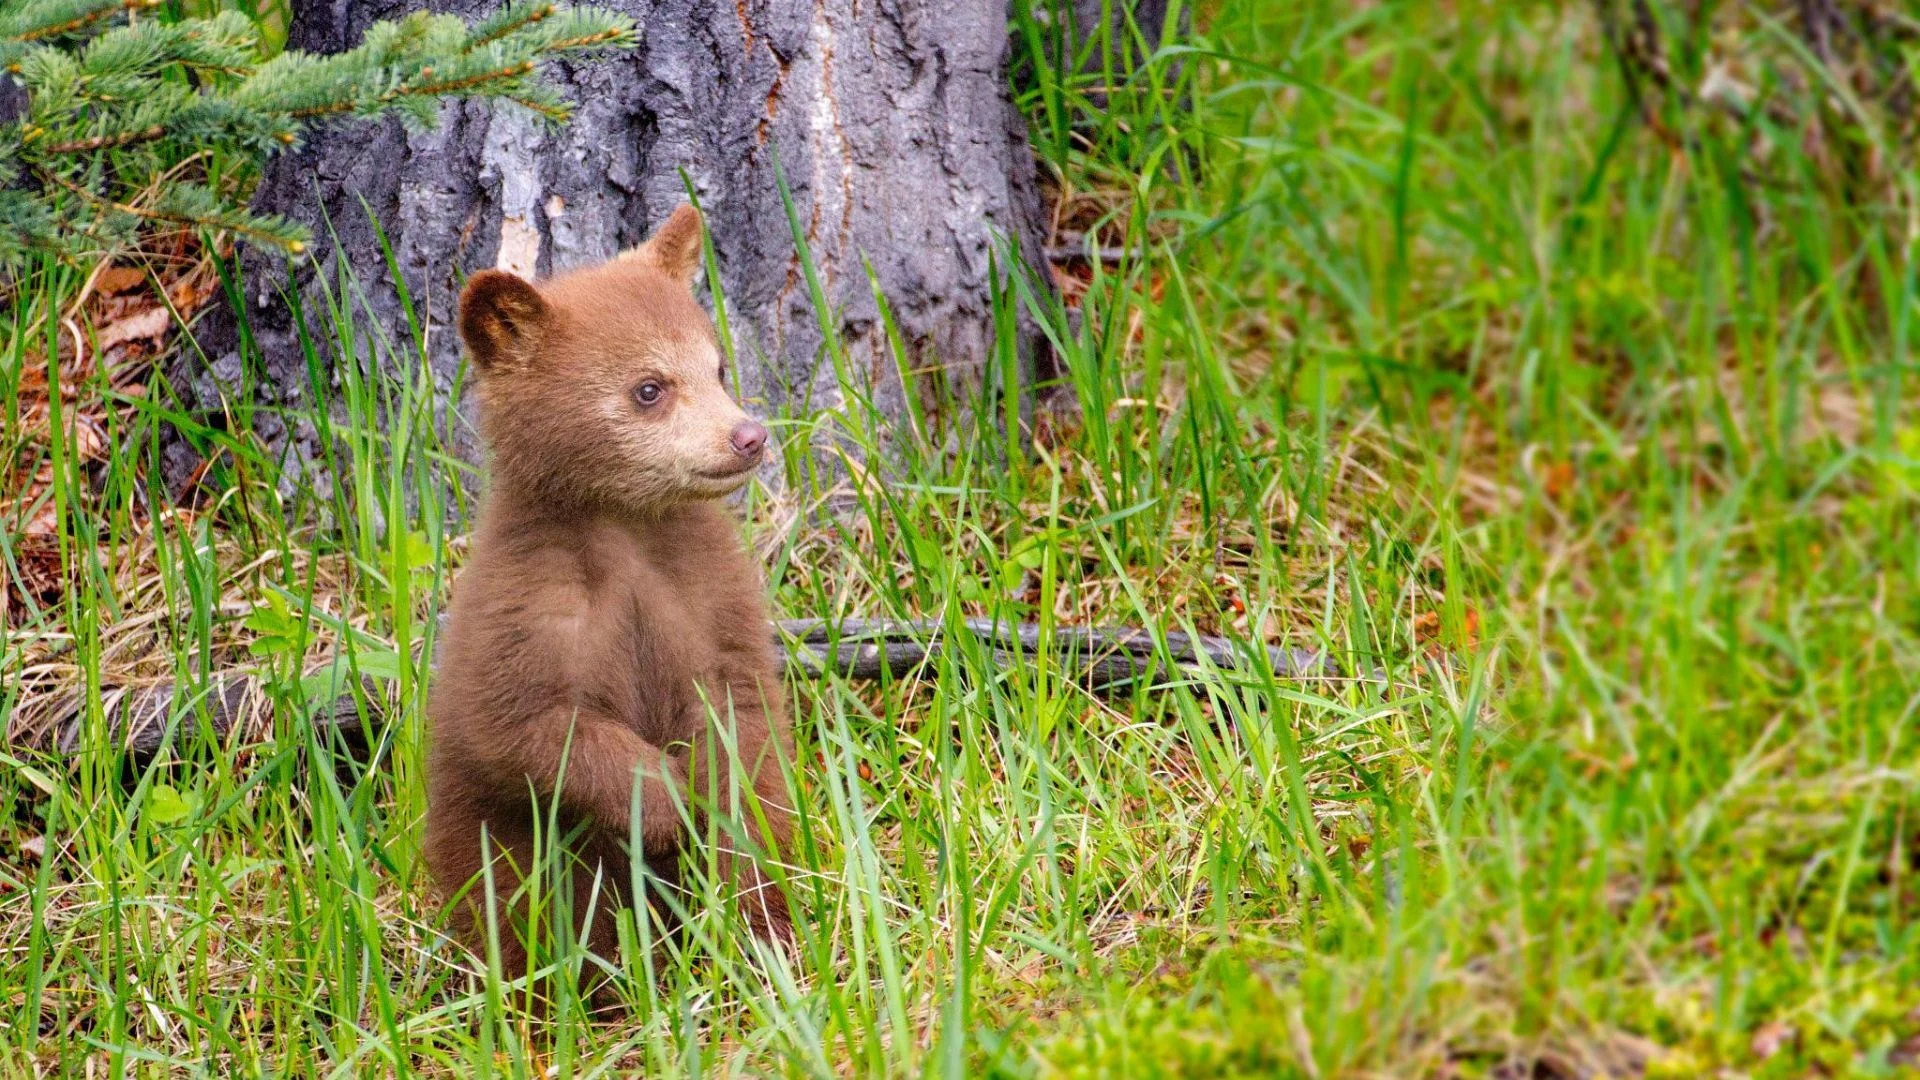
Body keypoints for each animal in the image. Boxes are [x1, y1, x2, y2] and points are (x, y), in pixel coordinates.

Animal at [424, 204, 794, 997]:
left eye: (718, 368)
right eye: (648, 388)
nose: (748, 436)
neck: (626, 530)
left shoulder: (709, 595)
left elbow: (743, 715)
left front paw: (713, 809)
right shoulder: (523, 607)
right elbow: (527, 728)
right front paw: (660, 804)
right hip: (499, 849)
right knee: (528, 911)